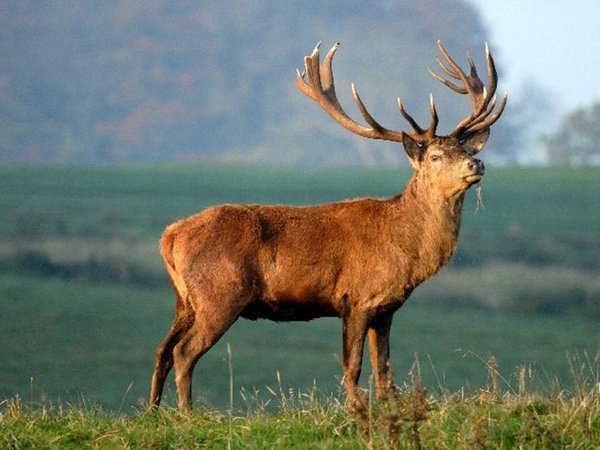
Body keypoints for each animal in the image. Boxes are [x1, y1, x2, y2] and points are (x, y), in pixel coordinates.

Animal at [149, 40, 506, 414]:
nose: (476, 163)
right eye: (435, 156)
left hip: (185, 300)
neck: (406, 247)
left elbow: (384, 369)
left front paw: (387, 408)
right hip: (220, 294)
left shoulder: (386, 309)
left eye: (463, 148)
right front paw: (355, 410)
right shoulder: (358, 298)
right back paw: (187, 414)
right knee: (184, 352)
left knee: (162, 350)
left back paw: (153, 412)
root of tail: (170, 236)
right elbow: (354, 364)